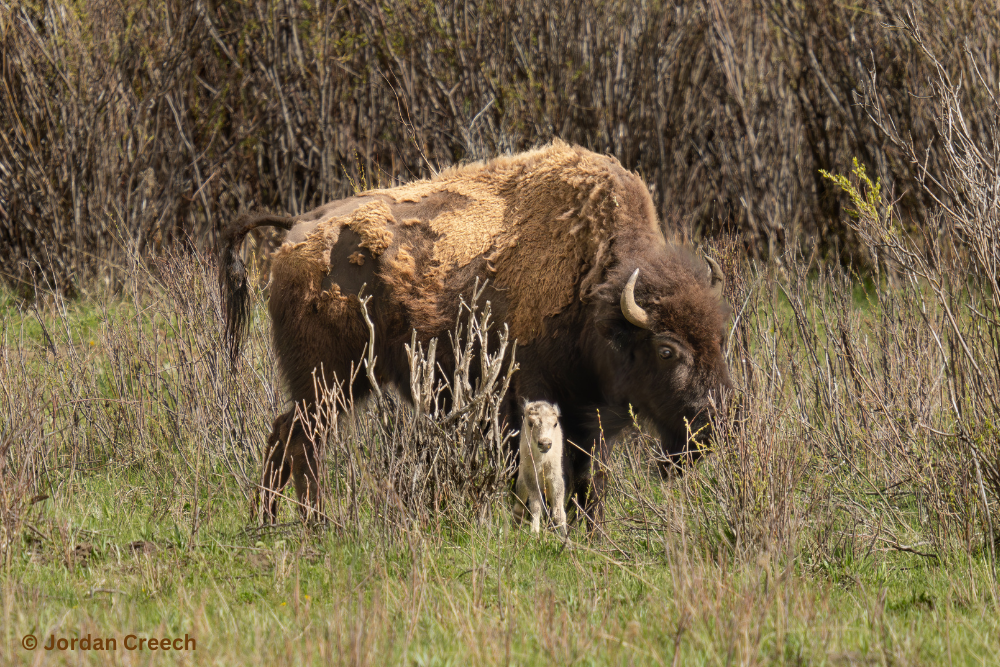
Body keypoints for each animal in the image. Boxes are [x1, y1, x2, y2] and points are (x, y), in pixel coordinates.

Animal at [513, 400, 567, 534]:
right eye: (530, 423)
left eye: (555, 423)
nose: (545, 443)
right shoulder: (530, 476)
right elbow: (536, 505)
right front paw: (534, 532)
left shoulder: (555, 476)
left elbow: (559, 511)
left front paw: (565, 537)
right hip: (522, 483)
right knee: (519, 507)